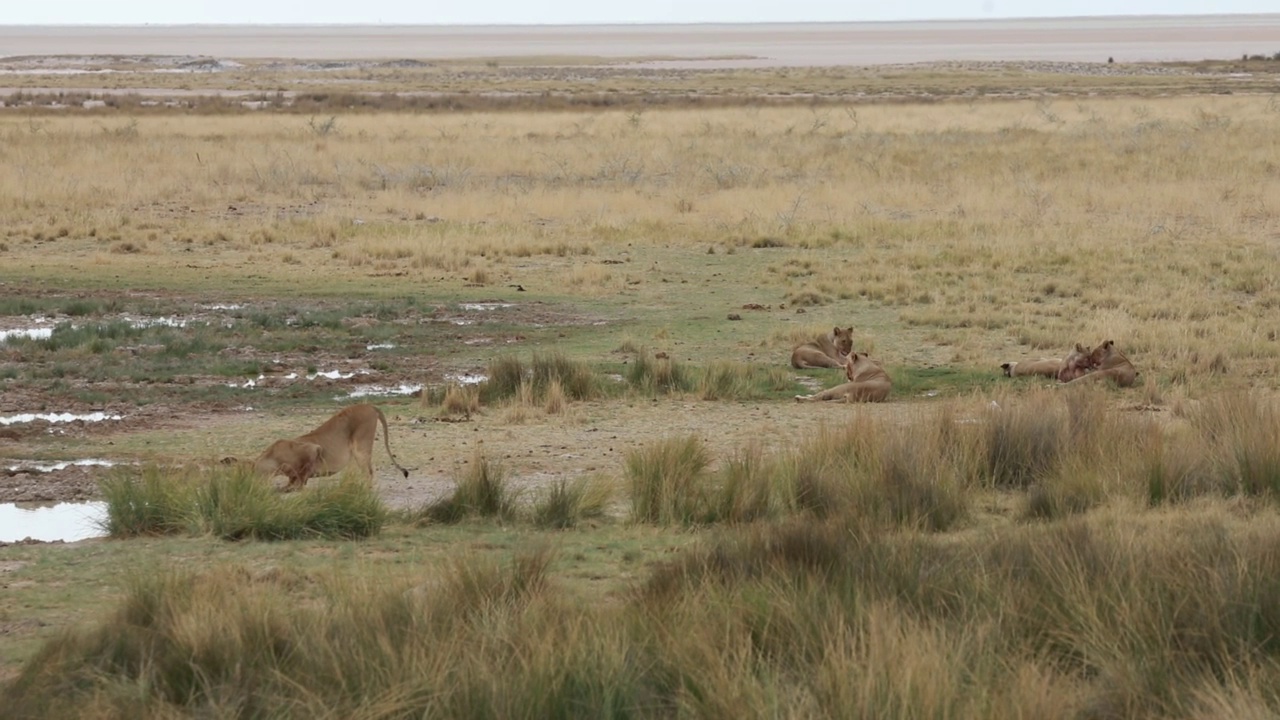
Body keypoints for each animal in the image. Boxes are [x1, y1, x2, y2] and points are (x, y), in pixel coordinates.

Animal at [230, 399, 409, 489]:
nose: (244, 487)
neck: (271, 458)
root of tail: (370, 405)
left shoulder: (313, 449)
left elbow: (302, 474)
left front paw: (294, 487)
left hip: (361, 445)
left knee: (369, 473)